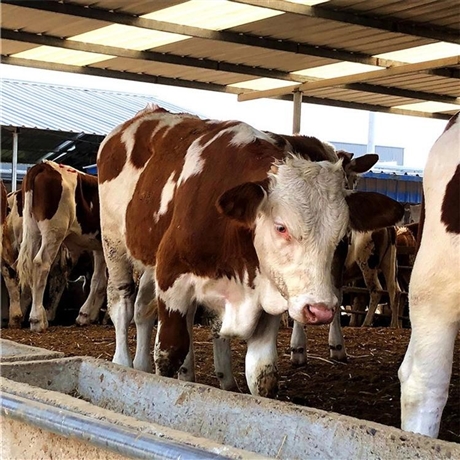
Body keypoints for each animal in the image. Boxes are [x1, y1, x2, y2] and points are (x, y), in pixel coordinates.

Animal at [16, 162, 108, 330]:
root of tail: (43, 165)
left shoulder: (101, 247)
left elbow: (98, 280)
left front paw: (87, 315)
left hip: (32, 229)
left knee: (30, 264)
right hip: (54, 231)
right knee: (41, 264)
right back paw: (37, 320)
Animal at [98, 106, 402, 398]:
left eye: (341, 235)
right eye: (281, 227)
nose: (319, 309)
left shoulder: (267, 298)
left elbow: (262, 375)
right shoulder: (173, 281)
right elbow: (169, 355)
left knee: (145, 309)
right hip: (114, 244)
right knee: (122, 303)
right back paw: (123, 362)